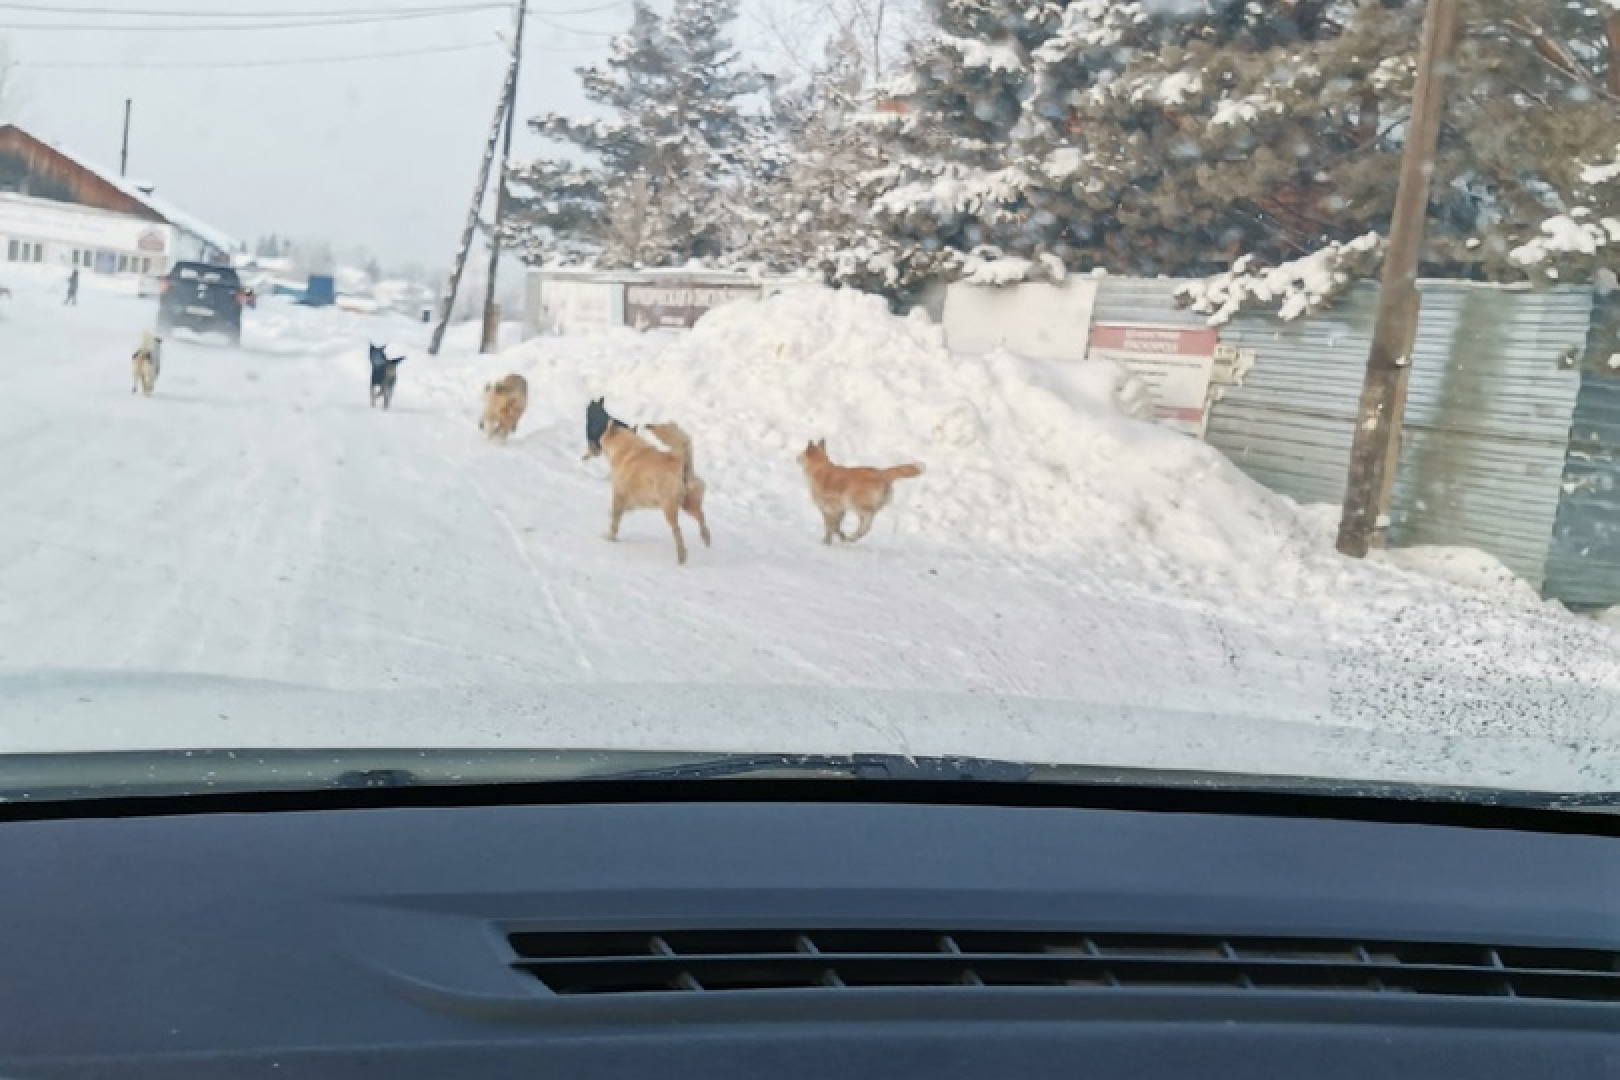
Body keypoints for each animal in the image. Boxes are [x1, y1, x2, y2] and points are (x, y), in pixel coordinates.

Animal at [599, 417, 712, 566]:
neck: (625, 449)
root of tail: (679, 459)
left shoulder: (619, 495)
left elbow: (614, 520)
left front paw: (610, 537)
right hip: (688, 504)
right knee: (701, 518)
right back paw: (706, 538)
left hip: (669, 508)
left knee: (677, 530)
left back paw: (681, 556)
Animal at [797, 433, 926, 544]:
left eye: (802, 453)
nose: (796, 457)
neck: (820, 467)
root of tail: (880, 473)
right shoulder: (840, 510)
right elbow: (836, 526)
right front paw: (841, 537)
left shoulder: (827, 509)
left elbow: (830, 527)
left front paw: (826, 541)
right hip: (861, 507)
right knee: (865, 523)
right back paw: (854, 536)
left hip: (855, 503)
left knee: (868, 519)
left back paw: (855, 535)